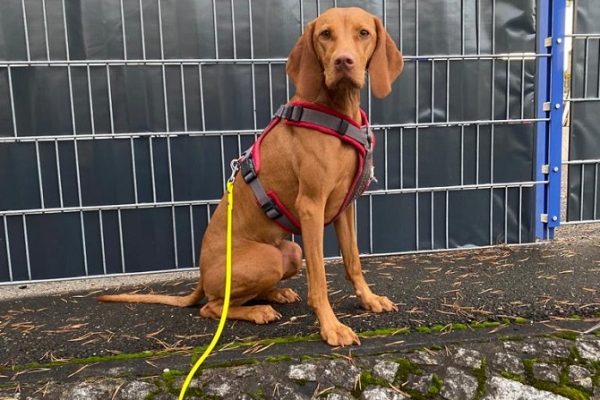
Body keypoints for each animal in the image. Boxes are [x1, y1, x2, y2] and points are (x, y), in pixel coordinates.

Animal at [99, 8, 404, 346]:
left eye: (364, 33)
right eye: (325, 34)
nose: (343, 61)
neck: (336, 112)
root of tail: (201, 276)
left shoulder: (345, 207)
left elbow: (353, 261)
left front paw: (369, 300)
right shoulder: (311, 207)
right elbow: (319, 280)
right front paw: (331, 327)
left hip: (290, 252)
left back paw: (276, 294)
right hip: (266, 259)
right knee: (212, 307)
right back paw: (257, 311)